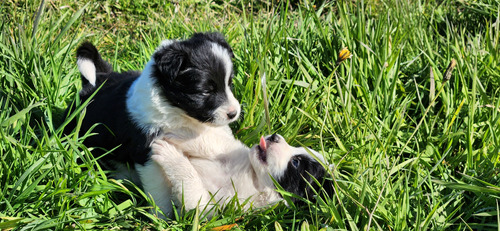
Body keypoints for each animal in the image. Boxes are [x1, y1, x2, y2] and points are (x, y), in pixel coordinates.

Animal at [150, 134, 334, 218]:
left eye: (296, 162)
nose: (274, 136)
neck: (253, 178)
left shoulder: (210, 208)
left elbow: (192, 187)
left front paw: (169, 154)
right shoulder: (229, 152)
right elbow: (208, 141)